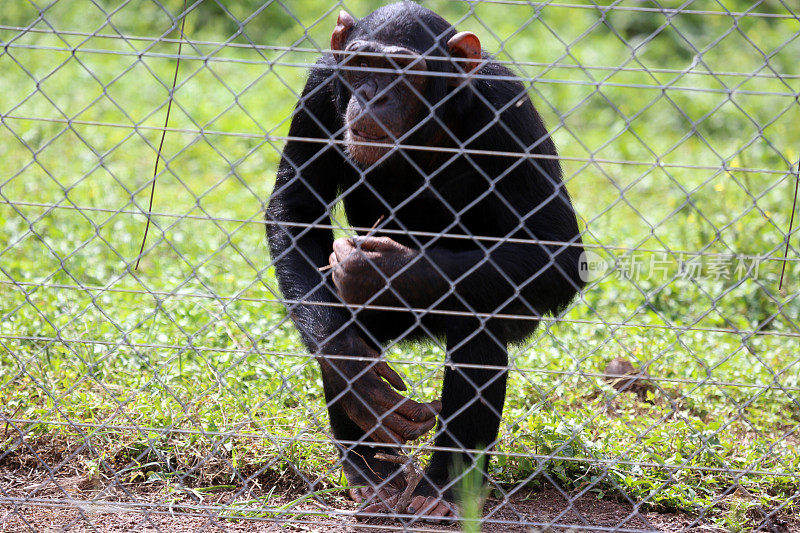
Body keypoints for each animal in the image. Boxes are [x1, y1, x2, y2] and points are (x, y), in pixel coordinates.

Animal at [266, 0, 584, 516]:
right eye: (363, 64)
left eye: (401, 71)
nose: (372, 96)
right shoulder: (319, 84)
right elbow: (297, 209)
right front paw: (355, 376)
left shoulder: (509, 110)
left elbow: (556, 249)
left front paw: (382, 270)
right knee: (337, 311)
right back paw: (372, 474)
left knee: (479, 323)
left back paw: (444, 490)